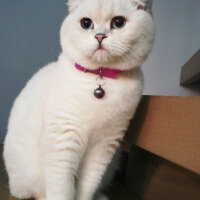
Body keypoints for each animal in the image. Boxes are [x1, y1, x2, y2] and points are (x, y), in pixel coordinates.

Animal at [3, 0, 154, 199]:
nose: (100, 36)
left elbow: (87, 187)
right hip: (24, 180)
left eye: (118, 22)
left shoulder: (103, 147)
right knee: (36, 192)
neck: (100, 77)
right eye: (86, 23)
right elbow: (62, 190)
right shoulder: (64, 142)